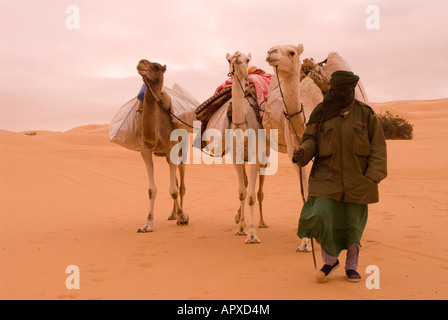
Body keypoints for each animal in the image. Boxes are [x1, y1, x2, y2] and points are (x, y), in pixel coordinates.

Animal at [135, 58, 187, 231]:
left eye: (156, 67)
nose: (141, 62)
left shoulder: (171, 148)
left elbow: (174, 191)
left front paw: (183, 217)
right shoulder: (145, 150)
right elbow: (152, 190)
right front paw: (147, 224)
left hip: (182, 152)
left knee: (181, 186)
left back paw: (180, 214)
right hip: (167, 157)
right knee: (176, 182)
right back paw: (172, 214)